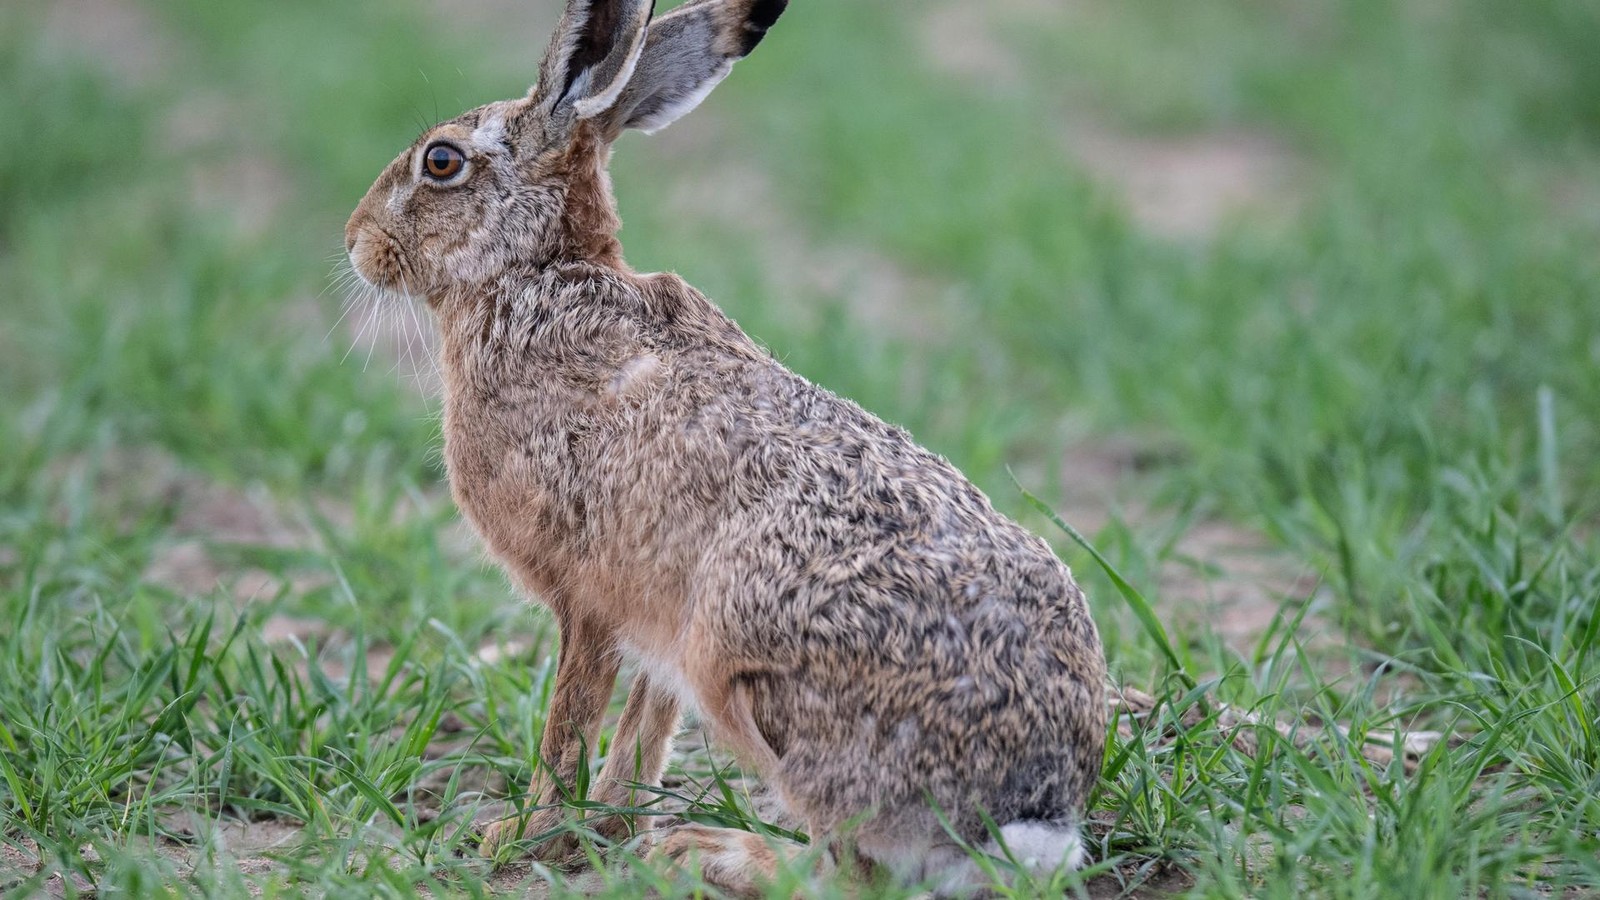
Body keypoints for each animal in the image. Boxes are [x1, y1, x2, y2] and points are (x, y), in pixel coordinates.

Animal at [342, 0, 1107, 893]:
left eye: (441, 161)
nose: (355, 241)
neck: (532, 276)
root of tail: (1025, 811)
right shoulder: (651, 623)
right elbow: (643, 732)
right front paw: (604, 829)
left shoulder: (587, 599)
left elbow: (569, 725)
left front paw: (521, 838)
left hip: (740, 665)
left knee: (851, 869)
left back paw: (706, 852)